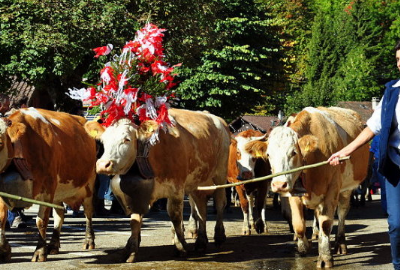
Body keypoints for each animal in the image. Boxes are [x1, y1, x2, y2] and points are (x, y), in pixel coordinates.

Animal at [0, 107, 96, 262]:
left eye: (0, 143)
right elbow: (1, 218)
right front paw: (4, 250)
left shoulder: (48, 188)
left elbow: (41, 221)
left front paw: (39, 251)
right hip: (58, 191)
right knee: (60, 215)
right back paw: (53, 245)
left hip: (89, 182)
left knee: (88, 211)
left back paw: (88, 241)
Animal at [86, 108, 230, 262]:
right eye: (103, 140)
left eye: (127, 139)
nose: (103, 165)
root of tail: (216, 118)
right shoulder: (138, 192)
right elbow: (135, 220)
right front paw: (131, 250)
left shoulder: (176, 188)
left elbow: (175, 216)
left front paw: (180, 247)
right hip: (198, 180)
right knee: (201, 208)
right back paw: (201, 242)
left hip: (220, 174)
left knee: (220, 203)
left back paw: (219, 237)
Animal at [252, 107, 368, 268]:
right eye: (268, 154)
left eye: (293, 152)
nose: (278, 185)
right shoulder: (293, 192)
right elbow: (298, 224)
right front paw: (304, 247)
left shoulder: (332, 189)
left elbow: (326, 223)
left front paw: (325, 257)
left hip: (346, 188)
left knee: (342, 212)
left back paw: (340, 243)